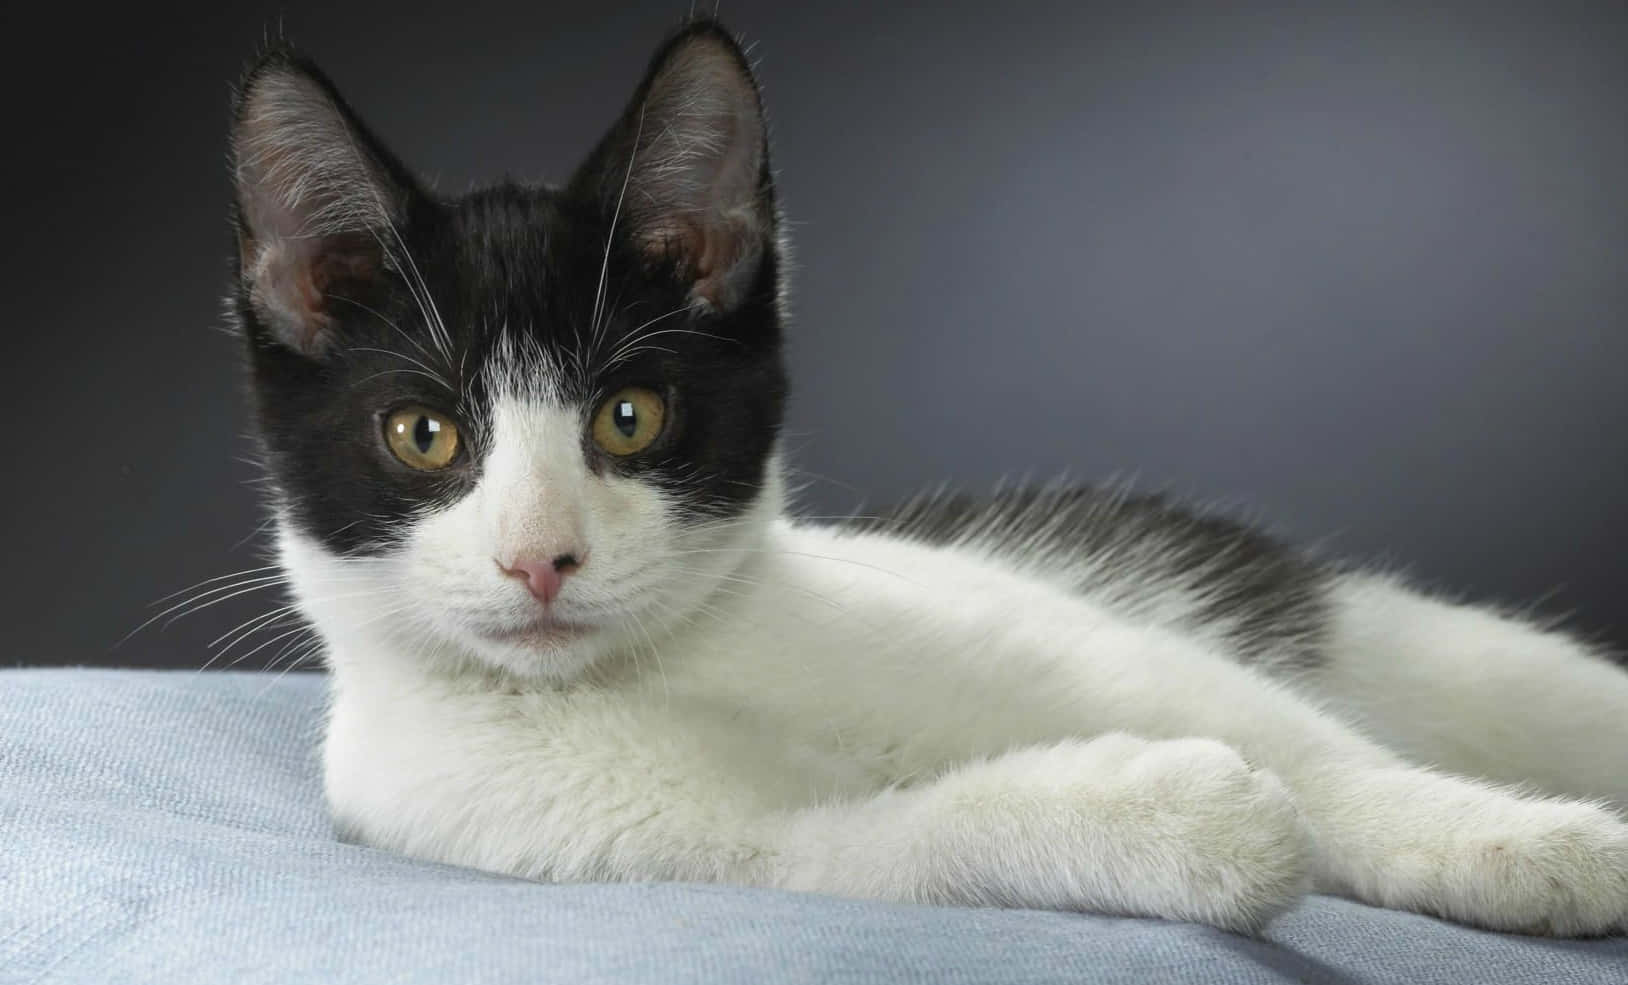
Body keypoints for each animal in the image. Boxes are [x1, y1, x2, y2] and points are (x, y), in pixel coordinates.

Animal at [226, 19, 1628, 931]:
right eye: (423, 435)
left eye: (628, 416)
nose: (538, 558)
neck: (670, 669)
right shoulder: (637, 840)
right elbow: (897, 844)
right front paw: (1190, 825)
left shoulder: (1070, 632)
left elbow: (1303, 747)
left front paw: (1529, 846)